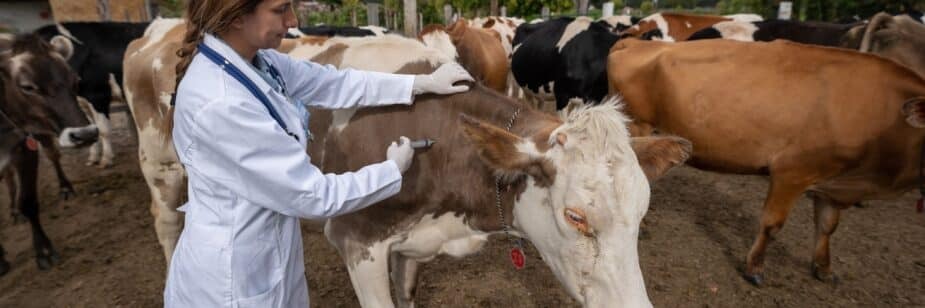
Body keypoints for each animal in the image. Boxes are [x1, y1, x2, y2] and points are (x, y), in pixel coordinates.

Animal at [34, 21, 150, 168]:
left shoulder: (98, 96)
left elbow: (103, 130)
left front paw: (106, 159)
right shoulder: (83, 102)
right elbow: (91, 129)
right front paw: (93, 158)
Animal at [608, 37, 924, 286]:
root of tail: (635, 42)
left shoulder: (834, 184)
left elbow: (827, 225)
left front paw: (823, 268)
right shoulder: (792, 171)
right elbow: (773, 224)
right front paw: (754, 268)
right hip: (639, 125)